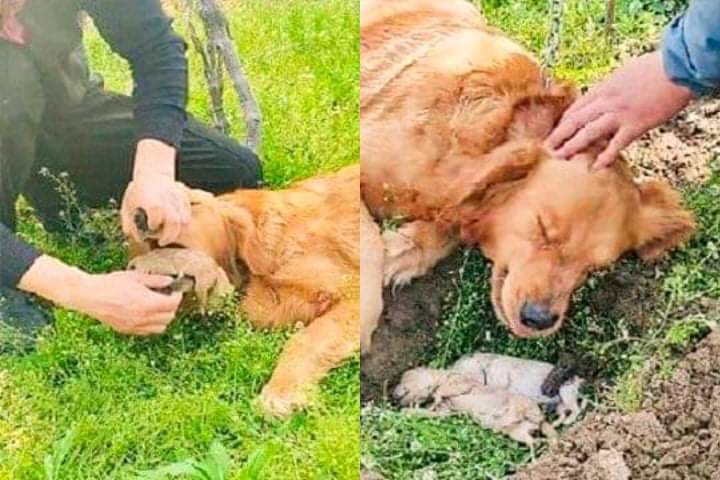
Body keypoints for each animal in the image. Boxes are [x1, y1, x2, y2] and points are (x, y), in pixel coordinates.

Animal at [394, 368, 552, 450]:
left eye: (404, 378)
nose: (393, 394)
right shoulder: (445, 409)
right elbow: (437, 413)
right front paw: (410, 411)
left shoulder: (460, 380)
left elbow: (448, 389)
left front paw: (433, 398)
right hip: (516, 431)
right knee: (531, 438)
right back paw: (539, 444)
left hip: (525, 405)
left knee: (536, 416)